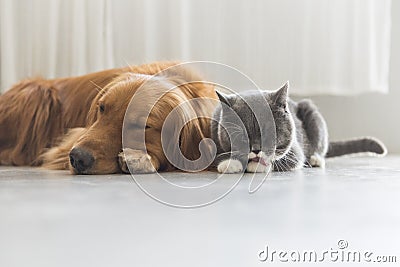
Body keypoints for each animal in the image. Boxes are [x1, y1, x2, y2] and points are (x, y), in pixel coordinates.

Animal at [0, 62, 217, 176]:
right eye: (102, 108)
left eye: (141, 126)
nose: (77, 158)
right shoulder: (73, 137)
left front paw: (139, 158)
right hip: (40, 93)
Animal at [209, 81, 388, 174]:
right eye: (242, 135)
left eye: (269, 132)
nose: (256, 149)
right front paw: (230, 164)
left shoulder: (295, 150)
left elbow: (288, 159)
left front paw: (255, 165)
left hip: (312, 112)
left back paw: (316, 159)